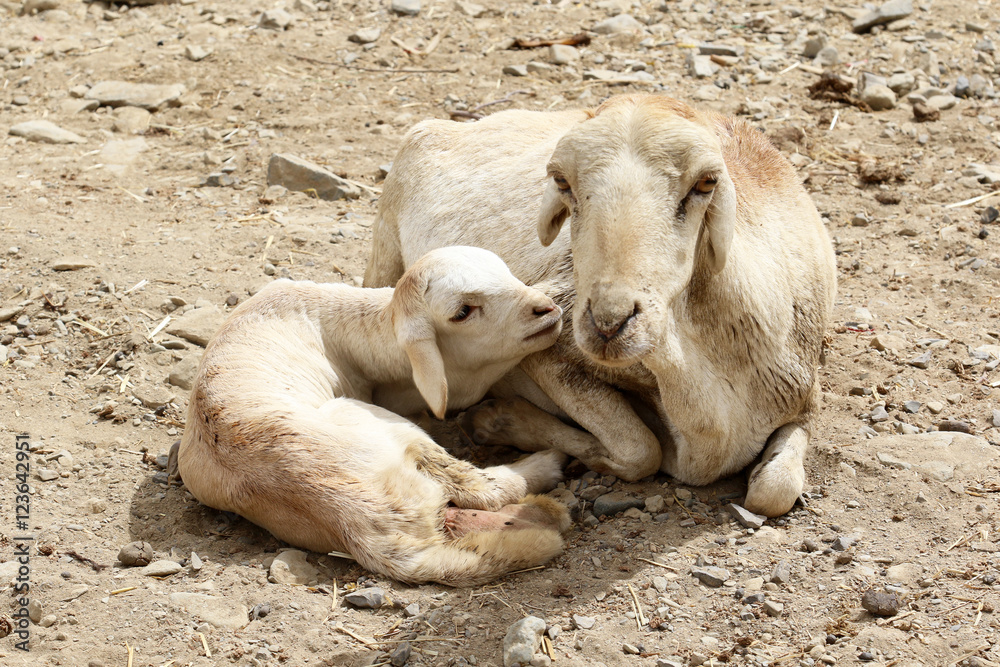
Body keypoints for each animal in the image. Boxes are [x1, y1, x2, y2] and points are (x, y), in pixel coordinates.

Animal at [368, 92, 836, 516]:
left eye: (706, 183)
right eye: (561, 182)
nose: (609, 323)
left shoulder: (804, 391)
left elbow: (774, 490)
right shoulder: (547, 347)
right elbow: (641, 450)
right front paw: (504, 421)